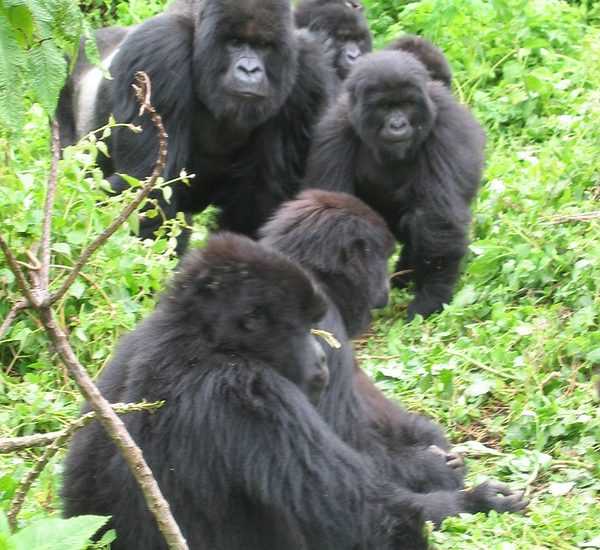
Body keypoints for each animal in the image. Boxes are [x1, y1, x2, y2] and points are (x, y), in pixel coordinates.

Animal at [61, 233, 426, 550]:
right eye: (305, 327)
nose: (322, 359)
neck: (205, 338)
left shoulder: (128, 349)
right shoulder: (252, 391)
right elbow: (379, 519)